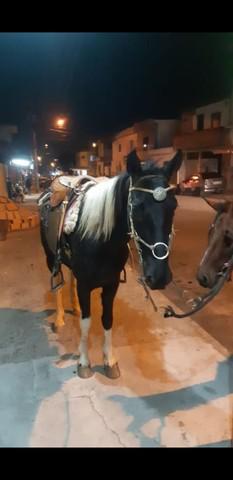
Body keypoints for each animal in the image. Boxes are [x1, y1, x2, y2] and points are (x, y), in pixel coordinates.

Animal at [40, 150, 182, 378]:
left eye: (174, 206)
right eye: (137, 206)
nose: (159, 276)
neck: (100, 239)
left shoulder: (111, 284)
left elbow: (107, 319)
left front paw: (110, 360)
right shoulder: (85, 285)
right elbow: (86, 323)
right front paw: (84, 362)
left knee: (71, 279)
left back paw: (75, 306)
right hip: (50, 256)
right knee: (59, 285)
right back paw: (60, 317)